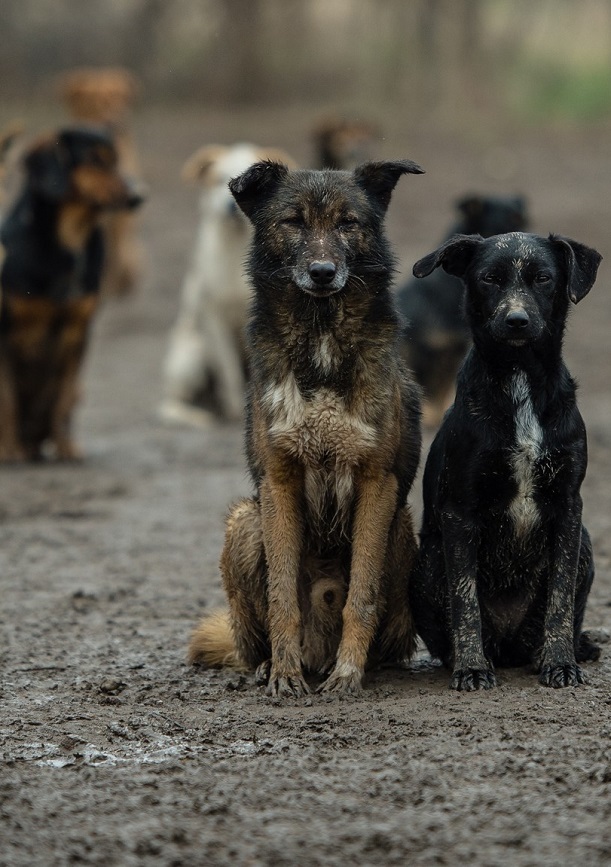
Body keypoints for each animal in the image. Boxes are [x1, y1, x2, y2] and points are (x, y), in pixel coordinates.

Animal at [159, 142, 298, 428]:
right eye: (218, 178)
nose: (230, 207)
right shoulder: (214, 318)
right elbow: (229, 371)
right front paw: (236, 411)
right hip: (192, 355)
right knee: (171, 402)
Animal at [191, 158, 426, 700]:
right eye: (293, 222)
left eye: (347, 223)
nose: (323, 272)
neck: (321, 335)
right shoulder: (279, 481)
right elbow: (282, 597)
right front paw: (284, 672)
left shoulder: (377, 483)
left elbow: (361, 594)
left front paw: (348, 674)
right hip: (245, 521)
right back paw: (269, 665)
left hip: (402, 529)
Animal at [400, 195, 528, 428]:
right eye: (505, 224)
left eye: (523, 220)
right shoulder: (426, 351)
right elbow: (430, 386)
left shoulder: (454, 351)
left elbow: (443, 386)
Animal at [412, 231, 604, 692]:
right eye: (489, 279)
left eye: (543, 278)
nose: (516, 320)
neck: (519, 377)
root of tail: (509, 645)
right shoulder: (459, 512)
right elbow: (465, 602)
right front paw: (471, 668)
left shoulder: (568, 508)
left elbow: (559, 599)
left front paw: (560, 663)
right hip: (427, 560)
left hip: (586, 542)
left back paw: (551, 654)